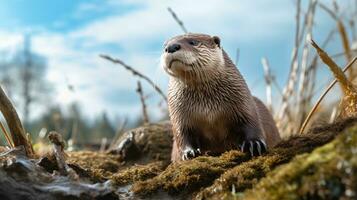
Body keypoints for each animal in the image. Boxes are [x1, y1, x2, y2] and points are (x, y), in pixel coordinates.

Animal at [161, 32, 280, 161]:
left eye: (193, 42)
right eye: (164, 46)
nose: (171, 47)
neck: (207, 107)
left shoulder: (243, 102)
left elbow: (251, 122)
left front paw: (253, 143)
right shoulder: (178, 114)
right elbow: (182, 135)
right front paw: (189, 152)